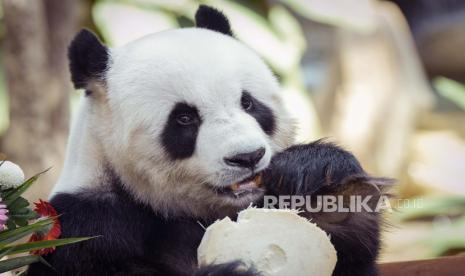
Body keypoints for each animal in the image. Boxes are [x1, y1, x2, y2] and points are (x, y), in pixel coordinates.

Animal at [27, 4, 386, 276]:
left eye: (248, 103)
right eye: (184, 118)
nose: (248, 157)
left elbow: (352, 252)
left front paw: (316, 170)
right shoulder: (85, 227)